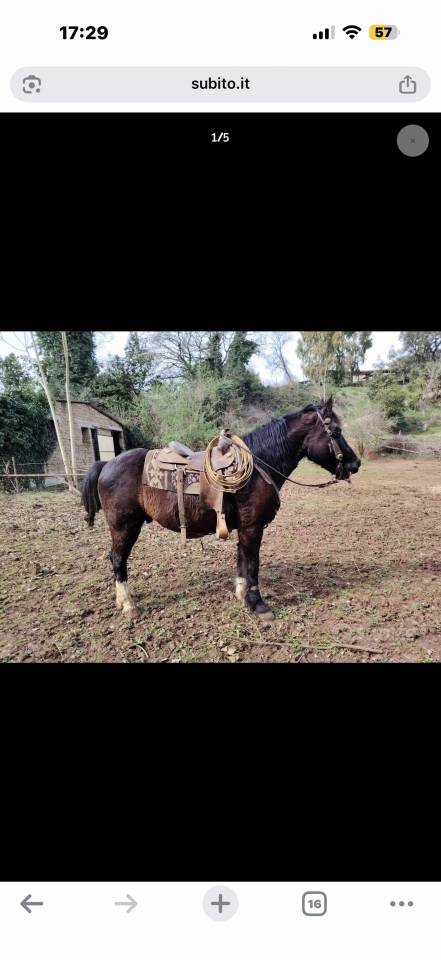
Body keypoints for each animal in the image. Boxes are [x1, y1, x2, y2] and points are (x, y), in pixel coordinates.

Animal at [81, 396, 361, 622]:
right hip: (124, 526)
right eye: (336, 431)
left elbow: (242, 560)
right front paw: (258, 605)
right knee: (118, 559)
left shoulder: (245, 527)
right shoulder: (253, 527)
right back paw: (128, 605)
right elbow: (253, 563)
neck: (260, 466)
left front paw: (242, 594)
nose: (356, 463)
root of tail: (107, 464)